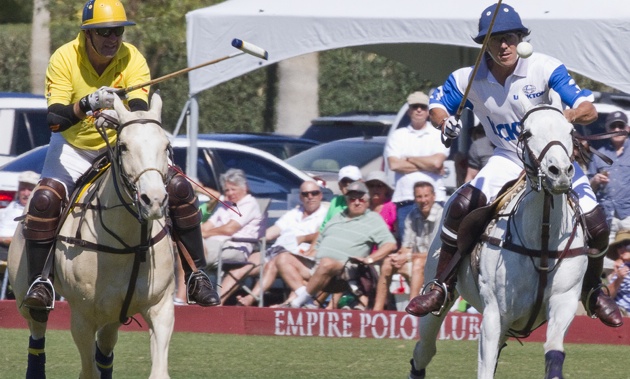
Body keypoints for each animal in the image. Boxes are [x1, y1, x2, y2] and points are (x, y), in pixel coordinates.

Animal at [9, 93, 178, 379]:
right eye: (123, 146)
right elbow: (88, 372)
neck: (128, 243)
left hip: (115, 314)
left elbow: (158, 371)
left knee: (106, 347)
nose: (154, 200)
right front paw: (98, 98)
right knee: (37, 329)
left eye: (166, 146)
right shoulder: (82, 317)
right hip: (24, 294)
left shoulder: (160, 307)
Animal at [412, 104, 592, 379]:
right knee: (424, 349)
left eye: (571, 131)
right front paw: (450, 126)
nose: (560, 173)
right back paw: (431, 298)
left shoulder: (564, 301)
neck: (542, 239)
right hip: (437, 297)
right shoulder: (494, 314)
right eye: (527, 133)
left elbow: (554, 352)